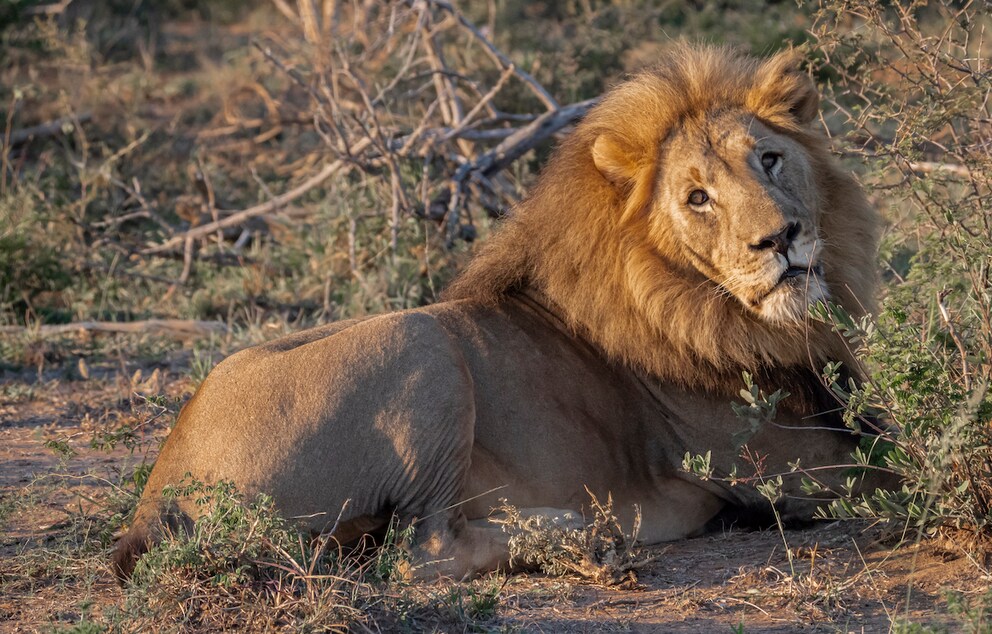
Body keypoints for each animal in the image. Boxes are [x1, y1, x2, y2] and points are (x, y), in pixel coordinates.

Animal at [113, 44, 881, 581]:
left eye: (770, 160)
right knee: (420, 552)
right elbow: (889, 474)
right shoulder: (780, 467)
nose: (780, 239)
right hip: (419, 341)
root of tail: (154, 499)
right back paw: (580, 533)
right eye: (697, 198)